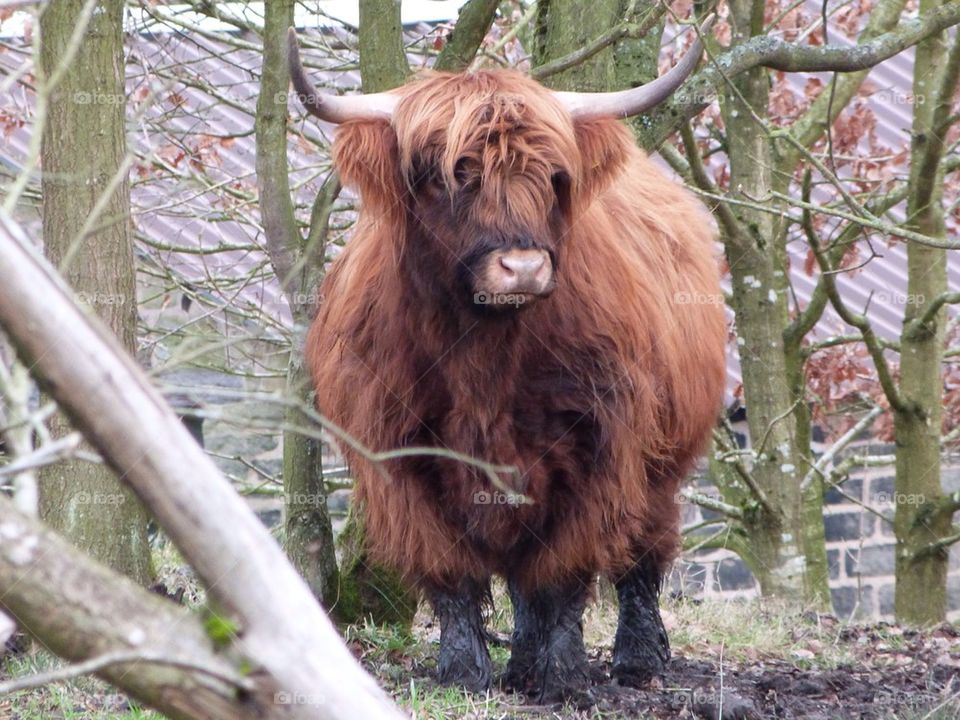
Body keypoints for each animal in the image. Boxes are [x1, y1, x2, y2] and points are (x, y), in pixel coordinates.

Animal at [288, 24, 726, 705]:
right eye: (454, 173)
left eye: (553, 176)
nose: (523, 267)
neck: (484, 358)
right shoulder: (399, 455)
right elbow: (452, 574)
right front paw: (464, 673)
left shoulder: (599, 450)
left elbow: (565, 574)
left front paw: (565, 677)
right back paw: (519, 664)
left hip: (663, 459)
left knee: (643, 553)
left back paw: (638, 659)